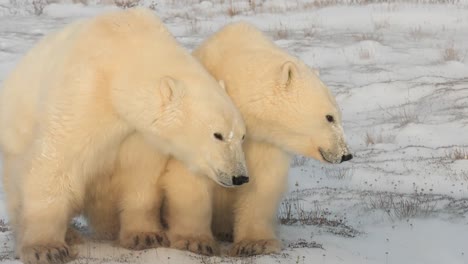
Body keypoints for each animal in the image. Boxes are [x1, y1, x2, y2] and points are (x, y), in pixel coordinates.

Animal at [0, 8, 247, 264]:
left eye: (242, 136)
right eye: (218, 135)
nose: (239, 176)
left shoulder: (138, 133)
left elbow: (140, 174)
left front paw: (144, 236)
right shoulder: (83, 94)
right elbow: (57, 162)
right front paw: (46, 248)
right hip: (15, 142)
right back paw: (70, 234)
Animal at [156, 22, 352, 256]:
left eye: (338, 115)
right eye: (329, 117)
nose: (346, 154)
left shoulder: (264, 140)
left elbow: (262, 183)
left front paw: (255, 243)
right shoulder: (199, 126)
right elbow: (191, 177)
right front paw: (195, 241)